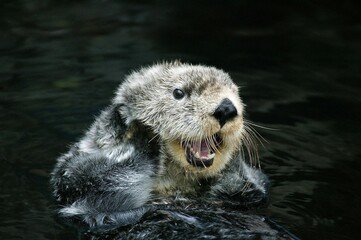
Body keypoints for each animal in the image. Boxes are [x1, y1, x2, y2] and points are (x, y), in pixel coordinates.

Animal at [50, 61, 270, 227]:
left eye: (235, 93)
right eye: (178, 93)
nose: (226, 108)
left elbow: (253, 189)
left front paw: (235, 162)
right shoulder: (75, 181)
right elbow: (105, 183)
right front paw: (142, 132)